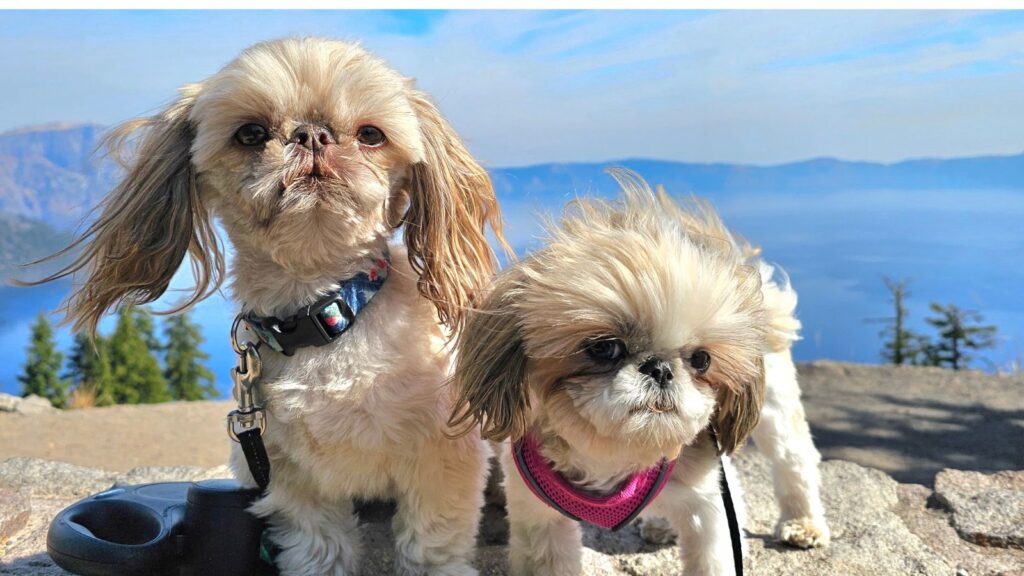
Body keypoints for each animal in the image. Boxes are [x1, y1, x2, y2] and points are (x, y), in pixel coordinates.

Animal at [37, 38, 509, 569]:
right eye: (251, 133)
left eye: (370, 134)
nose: (311, 135)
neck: (326, 316)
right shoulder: (288, 473)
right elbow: (319, 546)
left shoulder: (441, 459)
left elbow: (430, 542)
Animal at [452, 170, 827, 573]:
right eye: (604, 348)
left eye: (702, 360)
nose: (660, 368)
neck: (619, 452)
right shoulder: (539, 515)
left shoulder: (712, 505)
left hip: (774, 404)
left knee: (793, 458)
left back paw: (802, 522)